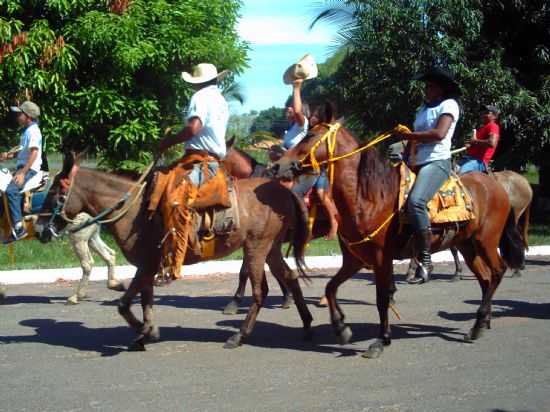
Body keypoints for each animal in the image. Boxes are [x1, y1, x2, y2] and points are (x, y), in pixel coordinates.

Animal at [36, 154, 314, 350]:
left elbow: (124, 304)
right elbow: (145, 301)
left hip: (257, 248)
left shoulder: (146, 265)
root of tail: (285, 190)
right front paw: (148, 333)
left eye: (55, 192)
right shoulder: (147, 267)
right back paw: (307, 324)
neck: (135, 210)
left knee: (260, 292)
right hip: (271, 248)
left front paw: (142, 331)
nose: (39, 231)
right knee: (290, 277)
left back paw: (238, 336)